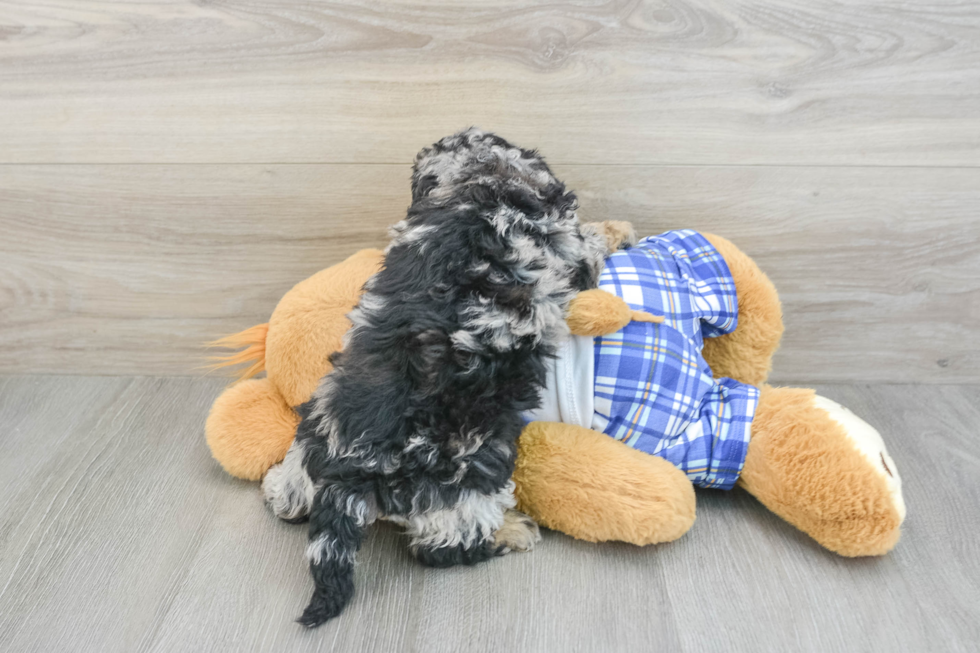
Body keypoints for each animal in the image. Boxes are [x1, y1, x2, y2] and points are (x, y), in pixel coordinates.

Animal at [264, 129, 636, 628]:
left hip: (314, 424)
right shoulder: (568, 251)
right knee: (443, 547)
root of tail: (350, 467)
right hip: (467, 478)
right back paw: (512, 531)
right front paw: (620, 229)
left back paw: (281, 491)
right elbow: (591, 243)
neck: (475, 183)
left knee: (293, 486)